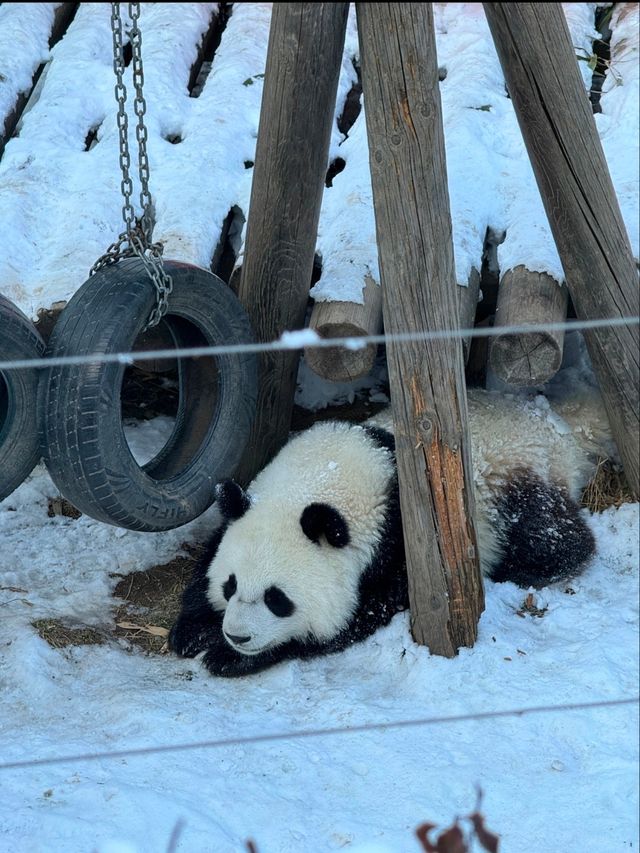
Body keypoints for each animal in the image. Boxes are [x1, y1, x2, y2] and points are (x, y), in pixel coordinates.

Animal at [169, 390, 600, 676]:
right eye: (230, 585)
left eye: (277, 599)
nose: (237, 636)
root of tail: (555, 420)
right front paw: (191, 630)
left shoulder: (405, 545)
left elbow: (360, 613)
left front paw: (229, 657)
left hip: (514, 479)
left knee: (546, 535)